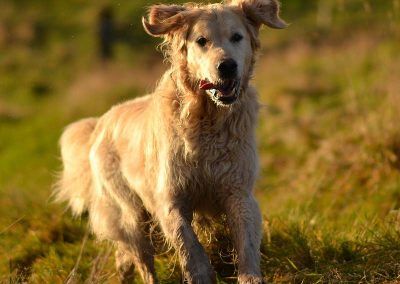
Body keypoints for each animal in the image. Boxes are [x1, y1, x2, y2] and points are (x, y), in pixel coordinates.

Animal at [54, 1, 286, 282]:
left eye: (237, 37)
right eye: (201, 41)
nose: (227, 66)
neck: (207, 118)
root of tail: (101, 122)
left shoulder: (238, 192)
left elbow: (247, 245)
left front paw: (250, 276)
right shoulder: (170, 201)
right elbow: (191, 249)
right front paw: (201, 273)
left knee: (124, 258)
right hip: (132, 217)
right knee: (144, 265)